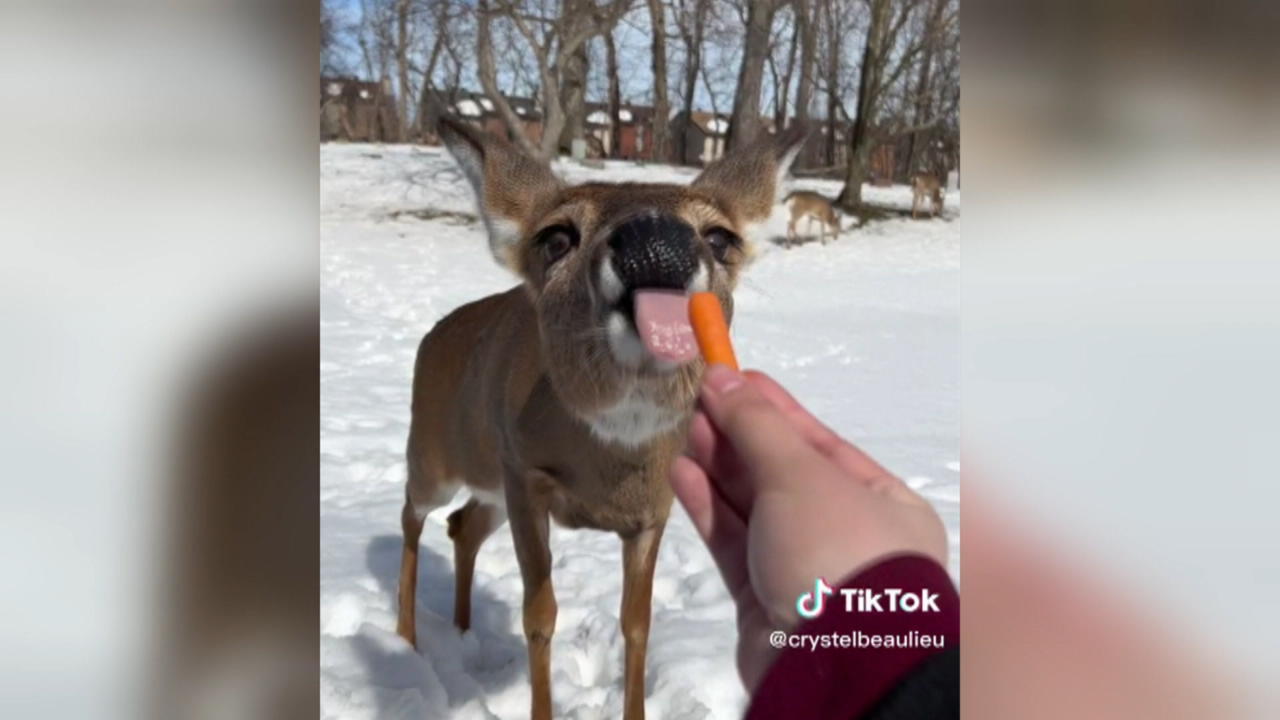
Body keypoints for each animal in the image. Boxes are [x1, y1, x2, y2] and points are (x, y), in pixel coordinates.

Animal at [394, 117, 803, 717]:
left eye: (720, 237)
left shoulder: (652, 510)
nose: (656, 242)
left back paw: (463, 631)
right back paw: (405, 641)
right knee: (412, 514)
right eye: (555, 237)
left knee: (462, 525)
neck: (608, 464)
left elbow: (637, 625)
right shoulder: (525, 475)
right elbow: (539, 615)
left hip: (488, 485)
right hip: (432, 453)